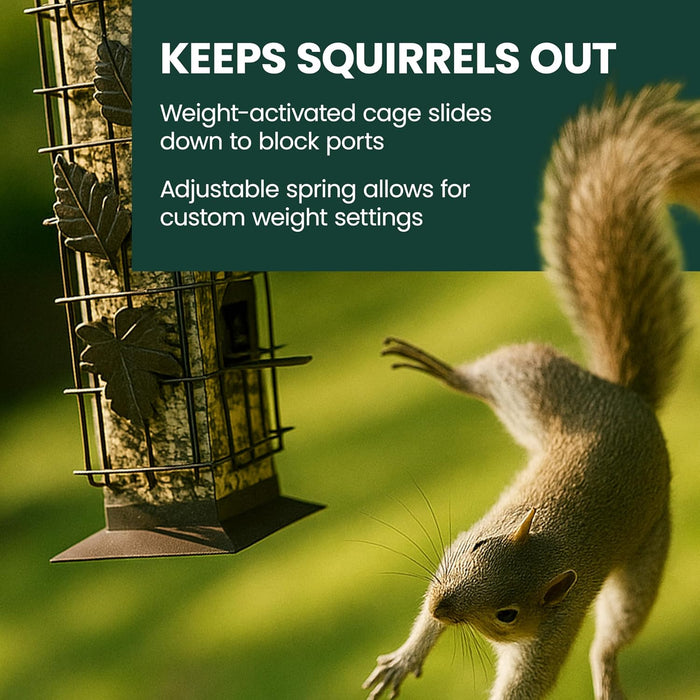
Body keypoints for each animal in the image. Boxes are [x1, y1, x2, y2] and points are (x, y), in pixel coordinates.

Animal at [363, 84, 700, 700]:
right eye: (478, 548)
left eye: (509, 615)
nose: (446, 607)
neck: (548, 541)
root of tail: (631, 398)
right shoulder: (451, 555)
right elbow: (426, 603)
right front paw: (405, 655)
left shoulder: (552, 628)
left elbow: (524, 683)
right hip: (537, 386)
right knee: (484, 377)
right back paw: (441, 368)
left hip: (646, 559)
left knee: (612, 637)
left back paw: (607, 676)